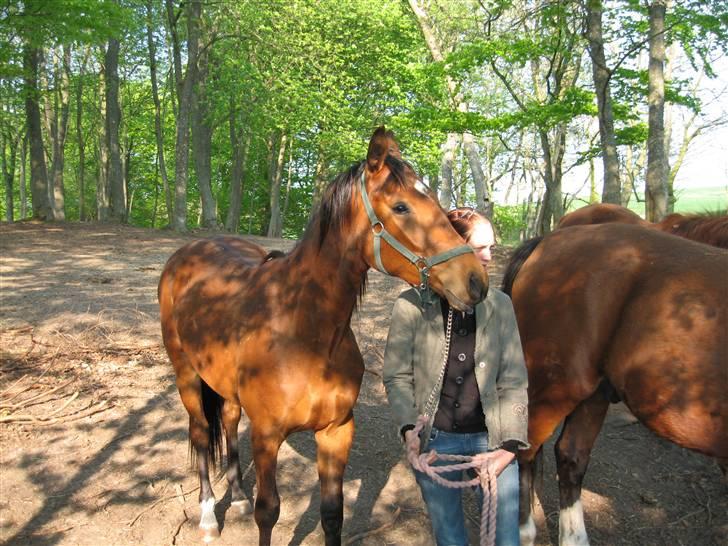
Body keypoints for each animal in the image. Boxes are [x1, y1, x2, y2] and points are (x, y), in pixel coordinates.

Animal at [159, 129, 490, 544]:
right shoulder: (267, 436)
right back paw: (207, 516)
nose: (475, 281)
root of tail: (189, 251)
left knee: (230, 421)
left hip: (224, 387)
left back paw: (236, 495)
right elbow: (268, 512)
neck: (304, 332)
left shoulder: (336, 431)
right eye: (401, 207)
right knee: (202, 434)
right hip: (187, 376)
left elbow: (332, 513)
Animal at [500, 222, 728, 544]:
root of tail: (548, 241)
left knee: (570, 455)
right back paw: (523, 530)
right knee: (526, 449)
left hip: (594, 393)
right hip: (555, 388)